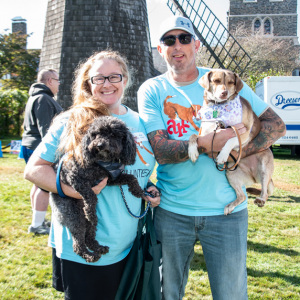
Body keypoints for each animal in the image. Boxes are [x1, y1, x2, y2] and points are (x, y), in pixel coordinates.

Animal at [50, 116, 146, 262]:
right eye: (95, 134)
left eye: (113, 134)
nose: (99, 145)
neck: (103, 162)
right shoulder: (74, 177)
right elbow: (91, 195)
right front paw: (89, 209)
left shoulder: (110, 179)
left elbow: (131, 177)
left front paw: (138, 191)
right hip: (73, 214)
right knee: (78, 242)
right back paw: (89, 255)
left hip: (87, 222)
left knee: (89, 234)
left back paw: (98, 247)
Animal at [190, 69, 274, 216]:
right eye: (216, 81)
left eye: (230, 82)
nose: (224, 93)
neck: (219, 108)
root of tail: (253, 177)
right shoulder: (205, 134)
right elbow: (193, 136)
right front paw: (192, 152)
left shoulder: (244, 132)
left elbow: (231, 139)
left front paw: (223, 155)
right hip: (231, 173)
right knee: (242, 196)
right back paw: (230, 206)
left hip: (265, 168)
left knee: (265, 192)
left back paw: (261, 200)